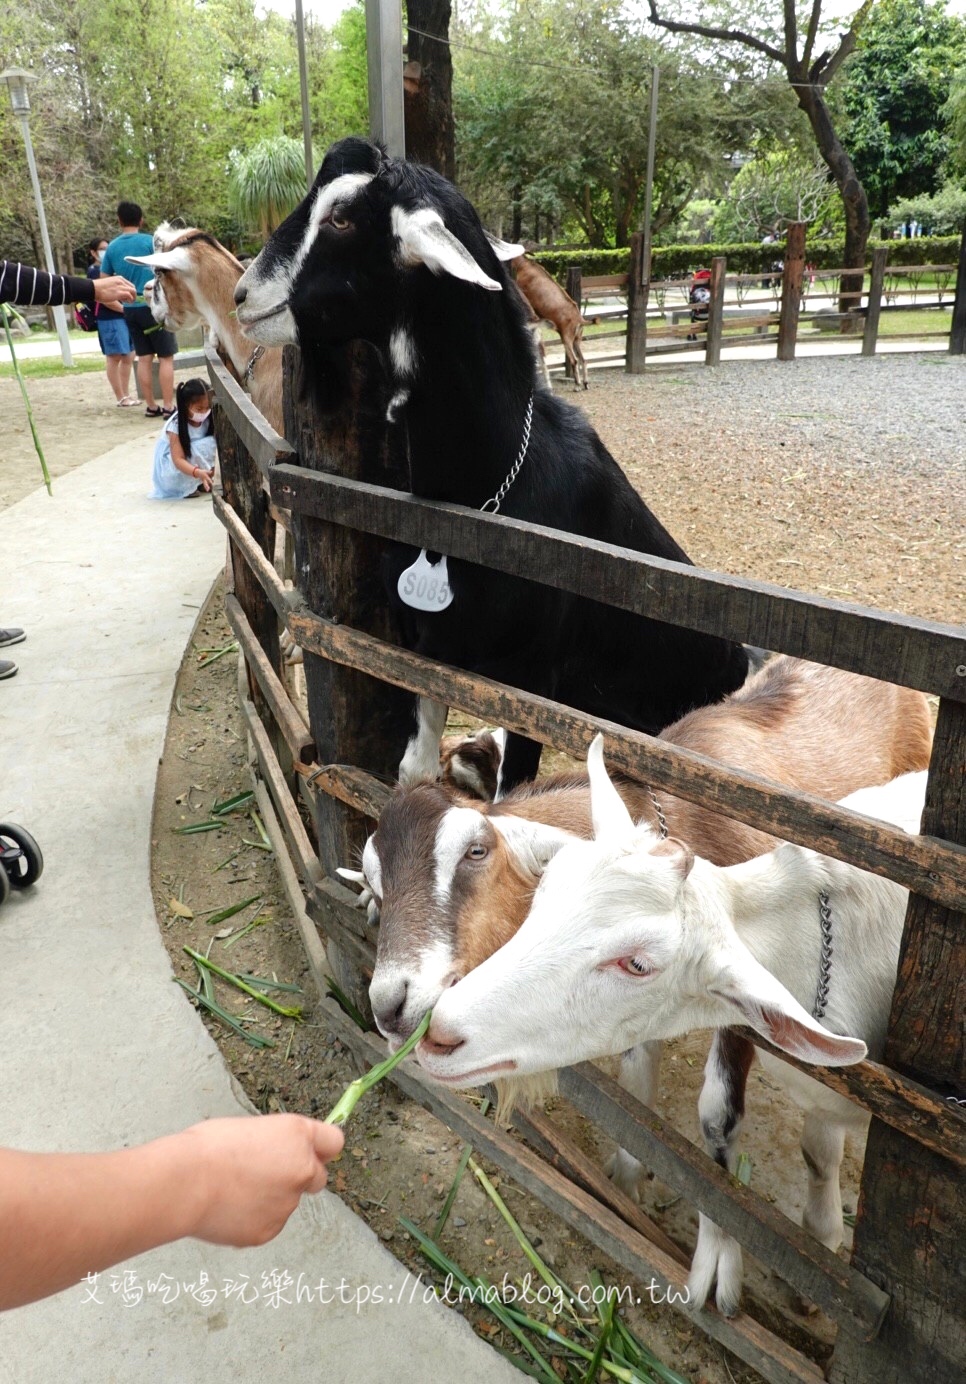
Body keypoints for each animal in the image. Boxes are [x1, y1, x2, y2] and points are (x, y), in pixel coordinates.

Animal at [350, 661, 930, 1190]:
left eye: (475, 851)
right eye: (377, 885)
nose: (390, 1005)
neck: (684, 810)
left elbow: (717, 1116)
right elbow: (634, 1087)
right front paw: (628, 1177)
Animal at [512, 254, 586, 390]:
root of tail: (580, 319)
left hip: (566, 338)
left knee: (574, 360)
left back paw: (577, 385)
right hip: (575, 339)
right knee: (582, 359)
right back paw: (584, 383)